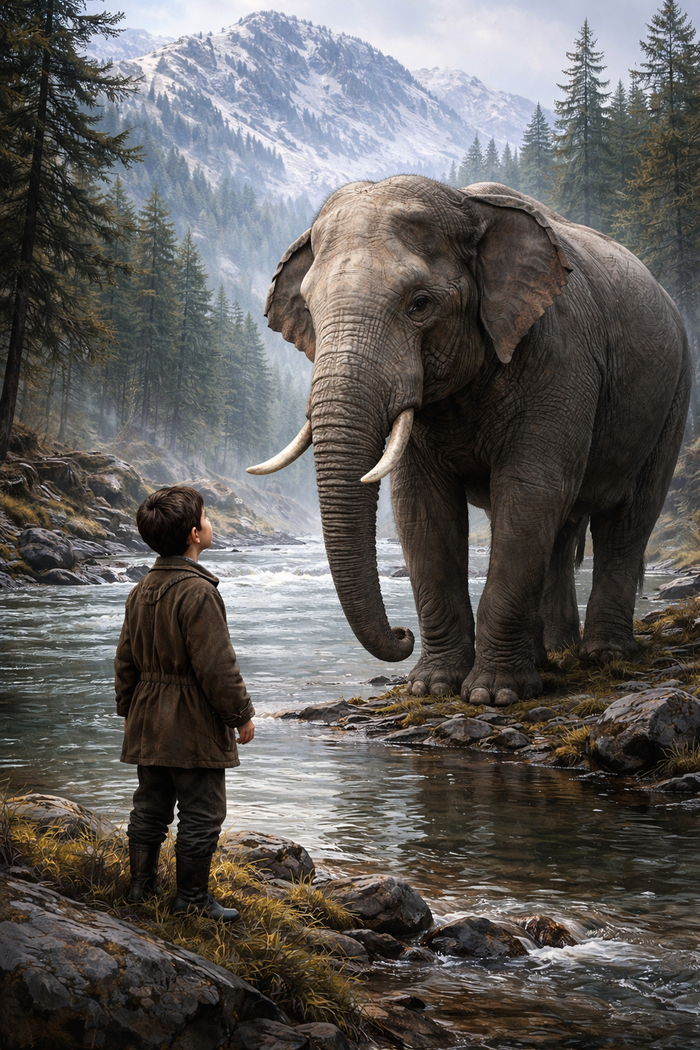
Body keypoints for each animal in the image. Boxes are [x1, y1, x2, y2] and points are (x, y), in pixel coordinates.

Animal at [248, 176, 691, 707]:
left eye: (419, 304)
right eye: (311, 310)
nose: (402, 634)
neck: (468, 206)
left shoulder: (561, 357)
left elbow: (529, 492)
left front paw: (492, 695)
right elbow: (422, 507)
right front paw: (434, 688)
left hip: (673, 395)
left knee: (628, 517)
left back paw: (604, 656)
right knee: (563, 531)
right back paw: (554, 655)